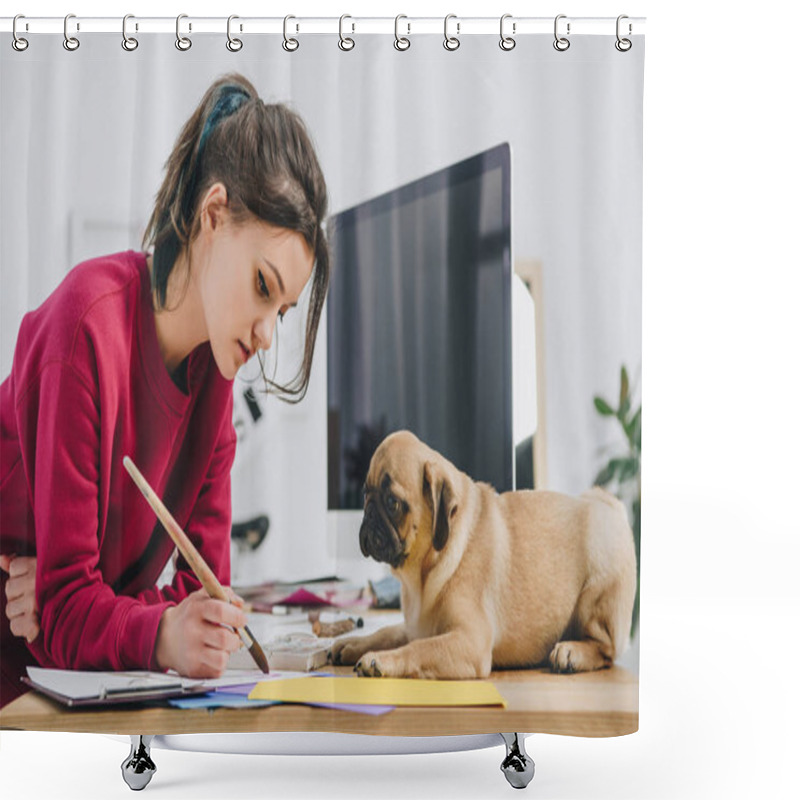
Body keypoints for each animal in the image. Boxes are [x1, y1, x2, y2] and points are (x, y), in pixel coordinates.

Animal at [332, 428, 636, 680]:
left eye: (392, 503)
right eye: (365, 494)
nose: (368, 515)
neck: (423, 573)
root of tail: (610, 505)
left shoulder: (469, 641)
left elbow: (417, 649)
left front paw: (380, 661)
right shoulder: (415, 626)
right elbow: (387, 632)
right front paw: (354, 644)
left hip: (597, 592)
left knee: (605, 649)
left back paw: (571, 652)